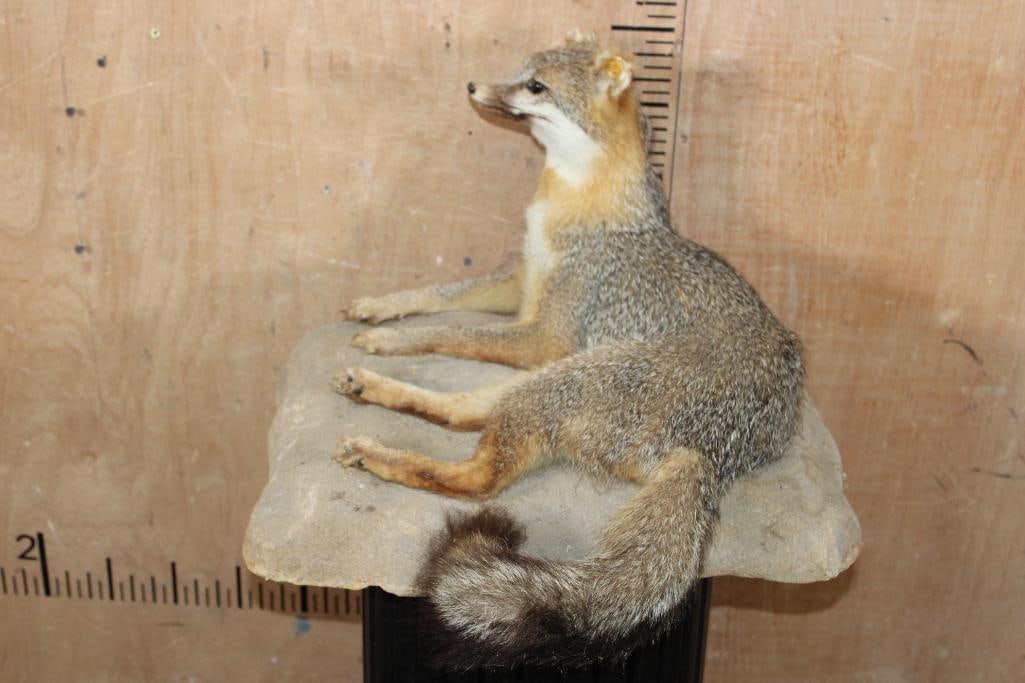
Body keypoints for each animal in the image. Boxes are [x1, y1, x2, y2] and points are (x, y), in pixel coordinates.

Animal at [331, 31, 804, 669]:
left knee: (477, 476)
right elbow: (439, 295)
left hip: (562, 375)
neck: (567, 207)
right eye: (520, 70)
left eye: (536, 87)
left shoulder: (545, 332)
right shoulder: (519, 286)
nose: (473, 86)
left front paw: (390, 338)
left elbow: (451, 332)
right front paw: (380, 306)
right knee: (463, 413)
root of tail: (711, 454)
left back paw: (375, 452)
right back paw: (370, 387)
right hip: (550, 380)